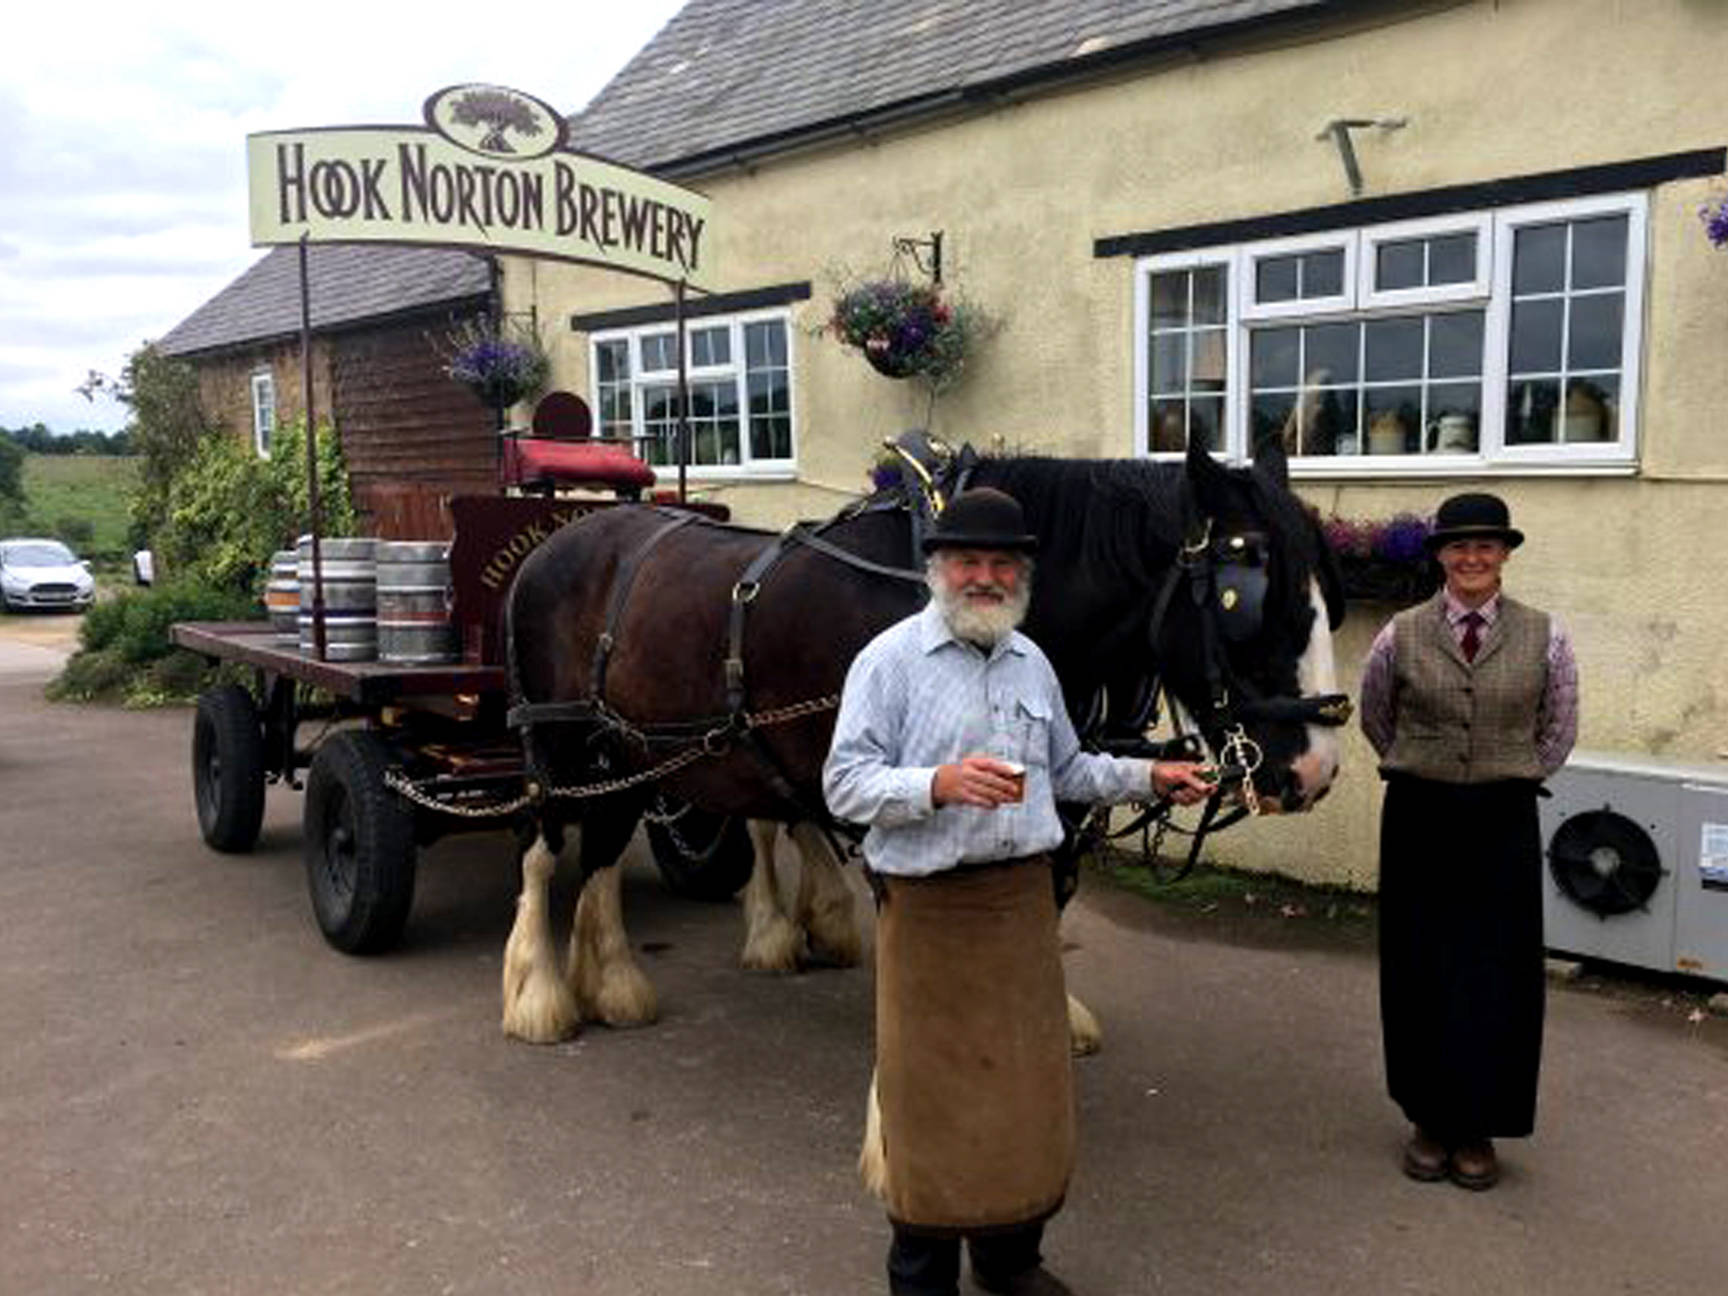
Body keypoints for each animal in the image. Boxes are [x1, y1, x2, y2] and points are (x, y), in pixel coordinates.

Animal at [501, 445, 1347, 1043]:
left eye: (1328, 596)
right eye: (1248, 601)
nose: (1316, 769)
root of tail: (555, 541)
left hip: (640, 750)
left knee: (619, 843)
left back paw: (618, 983)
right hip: (566, 745)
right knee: (547, 849)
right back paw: (542, 994)